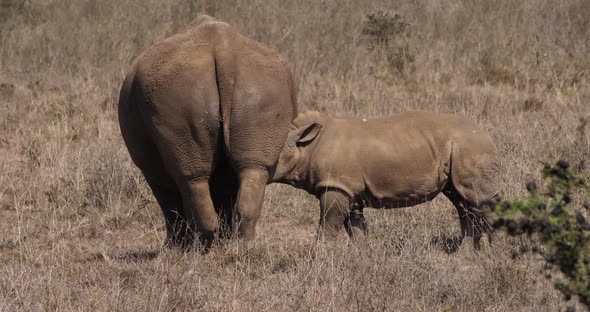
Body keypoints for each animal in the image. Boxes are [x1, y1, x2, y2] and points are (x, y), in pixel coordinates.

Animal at [272, 111, 500, 250]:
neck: (307, 146)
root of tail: (486, 134)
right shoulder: (349, 190)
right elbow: (356, 229)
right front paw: (362, 259)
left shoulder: (336, 185)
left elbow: (327, 226)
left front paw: (320, 260)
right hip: (463, 149)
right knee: (463, 202)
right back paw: (465, 256)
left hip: (471, 147)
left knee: (478, 200)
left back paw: (497, 255)